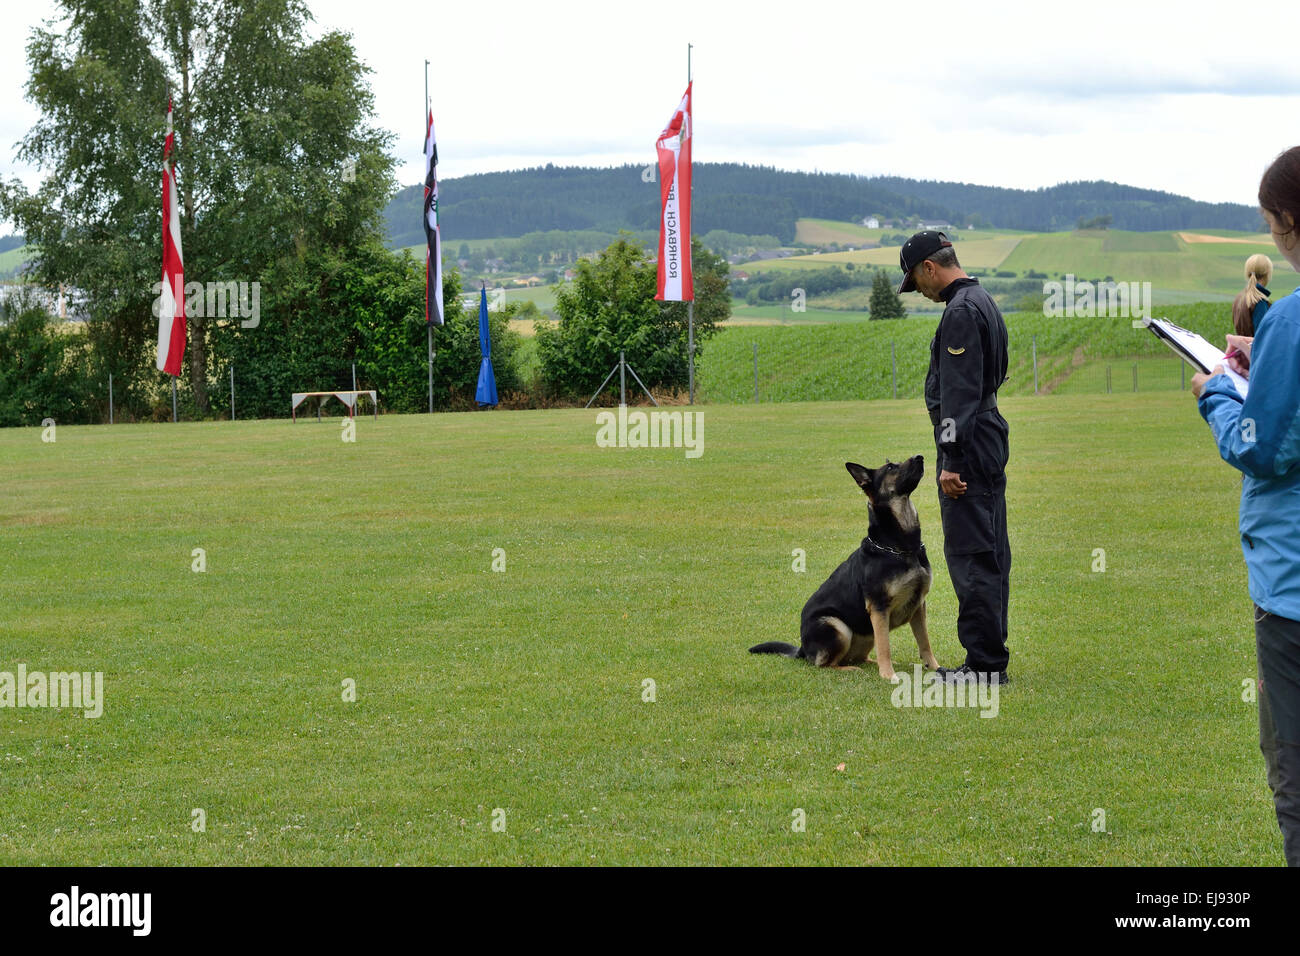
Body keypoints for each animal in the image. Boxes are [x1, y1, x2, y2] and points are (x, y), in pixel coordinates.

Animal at [748, 455, 941, 681]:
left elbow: (925, 642)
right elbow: (885, 646)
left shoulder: (918, 605)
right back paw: (851, 669)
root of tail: (802, 649)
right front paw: (888, 675)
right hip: (837, 626)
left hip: (865, 633)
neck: (901, 547)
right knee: (825, 664)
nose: (920, 457)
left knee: (859, 657)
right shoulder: (879, 608)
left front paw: (935, 667)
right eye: (891, 467)